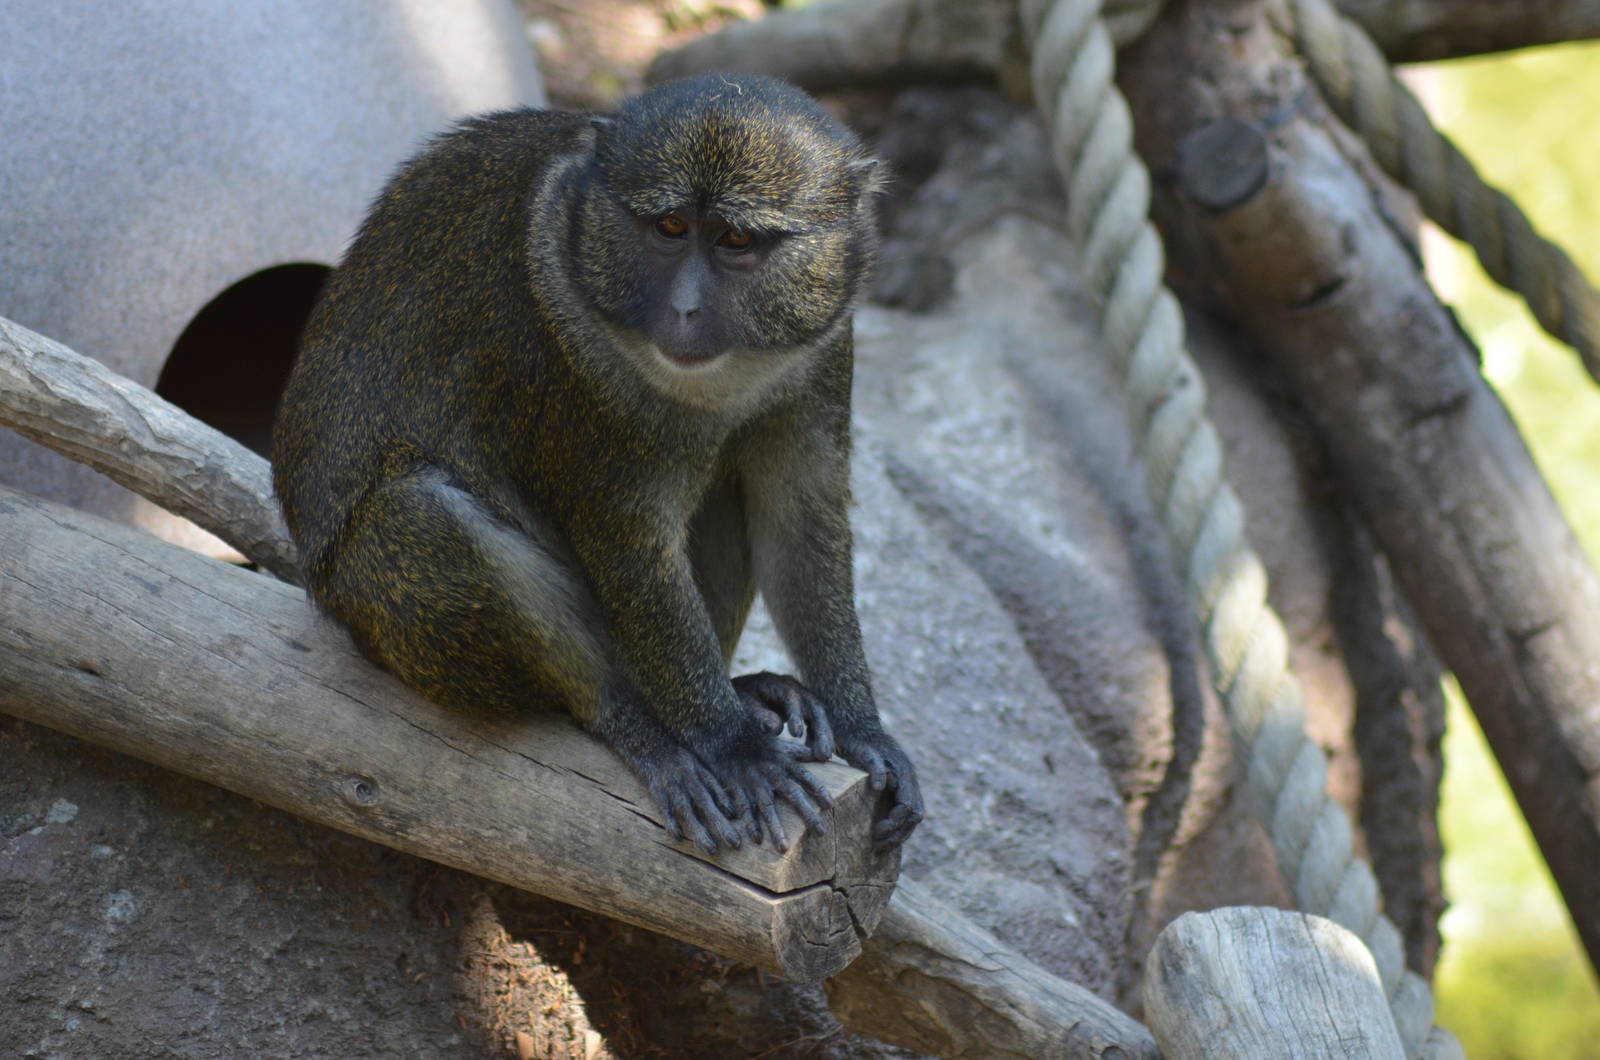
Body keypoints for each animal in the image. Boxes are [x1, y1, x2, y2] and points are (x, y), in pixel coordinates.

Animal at [272, 73, 923, 856]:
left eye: (736, 240)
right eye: (668, 229)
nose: (685, 308)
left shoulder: (823, 354)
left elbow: (799, 519)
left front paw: (864, 732)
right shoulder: (578, 372)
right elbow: (628, 545)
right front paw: (730, 745)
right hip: (386, 623)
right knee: (419, 510)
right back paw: (641, 724)